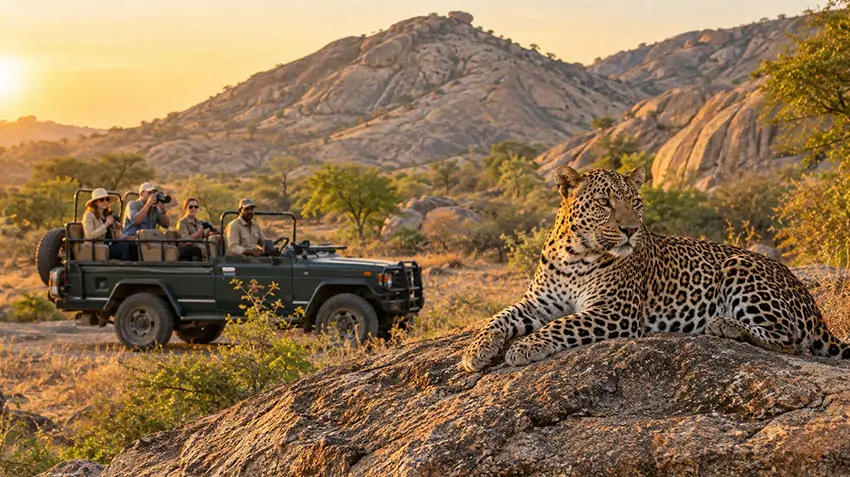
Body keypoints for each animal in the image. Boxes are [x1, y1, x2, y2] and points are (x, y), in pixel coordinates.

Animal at [461, 165, 850, 372]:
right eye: (604, 202)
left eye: (636, 202)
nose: (631, 229)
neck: (575, 252)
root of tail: (813, 306)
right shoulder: (540, 301)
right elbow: (497, 317)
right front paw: (475, 352)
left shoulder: (615, 310)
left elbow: (564, 323)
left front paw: (526, 346)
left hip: (740, 265)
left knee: (789, 341)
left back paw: (724, 325)